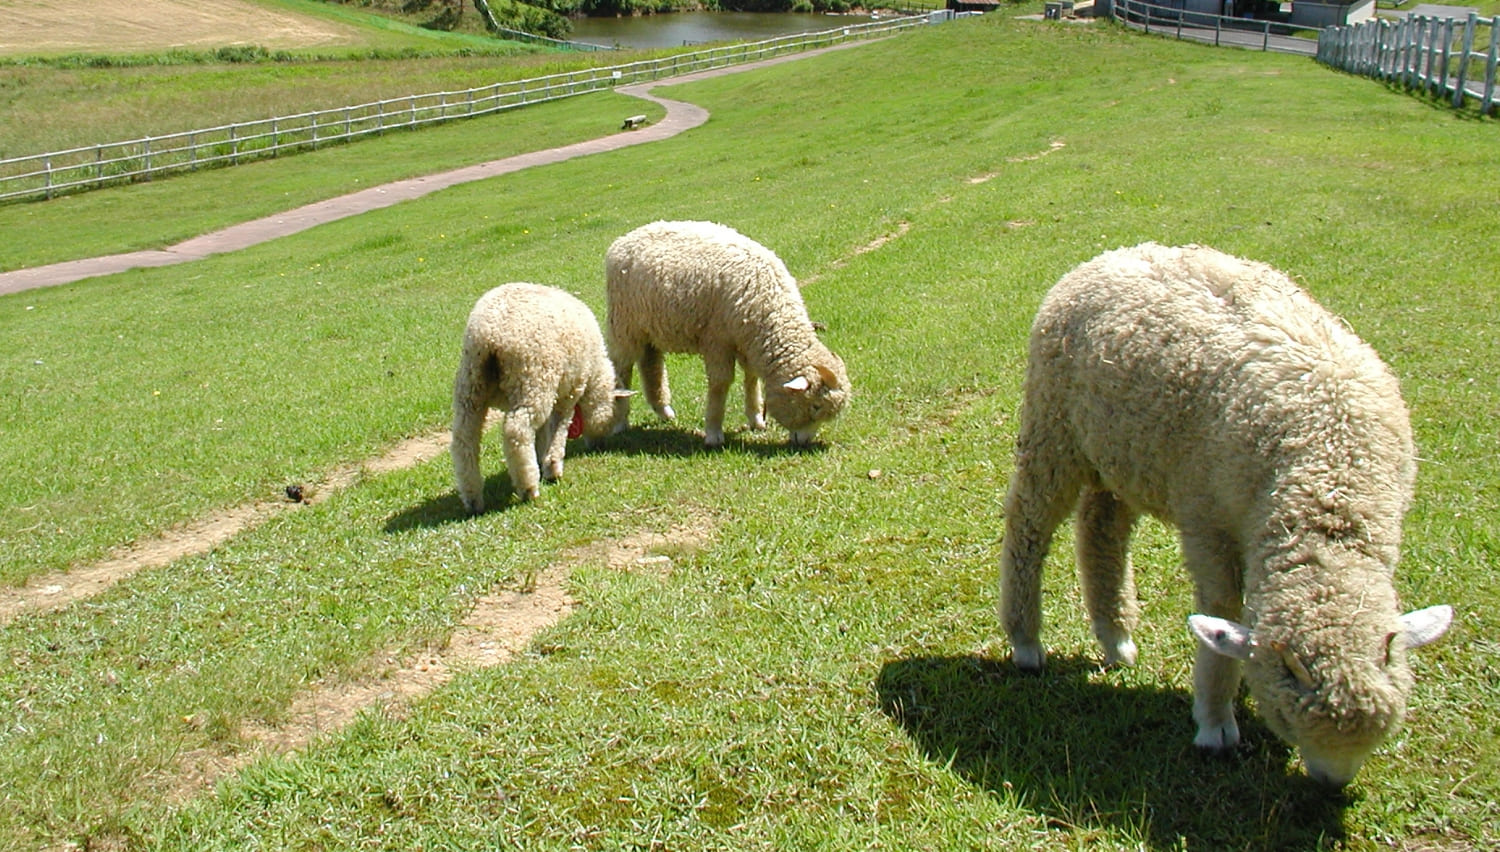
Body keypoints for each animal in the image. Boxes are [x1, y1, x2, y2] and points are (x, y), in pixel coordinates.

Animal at [453, 285, 624, 513]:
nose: (600, 446)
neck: (595, 372)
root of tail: (489, 336)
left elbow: (544, 432)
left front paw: (543, 459)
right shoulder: (569, 393)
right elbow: (559, 428)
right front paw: (553, 468)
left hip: (471, 385)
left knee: (464, 438)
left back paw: (472, 497)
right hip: (532, 382)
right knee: (517, 431)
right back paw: (528, 488)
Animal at [603, 217, 852, 447]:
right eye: (815, 406)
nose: (804, 442)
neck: (768, 304)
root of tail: (624, 239)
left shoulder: (744, 340)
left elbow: (751, 377)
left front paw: (756, 419)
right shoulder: (717, 340)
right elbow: (720, 383)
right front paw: (714, 433)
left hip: (650, 328)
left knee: (651, 365)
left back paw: (664, 411)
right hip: (624, 325)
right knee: (622, 368)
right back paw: (620, 422)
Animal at [1002, 243, 1446, 786]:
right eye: (1287, 716)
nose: (1331, 782)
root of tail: (1109, 255)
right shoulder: (1208, 519)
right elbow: (1223, 609)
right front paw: (1215, 721)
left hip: (1122, 451)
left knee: (1101, 529)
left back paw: (1116, 638)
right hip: (1053, 427)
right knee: (1029, 525)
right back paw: (1026, 642)